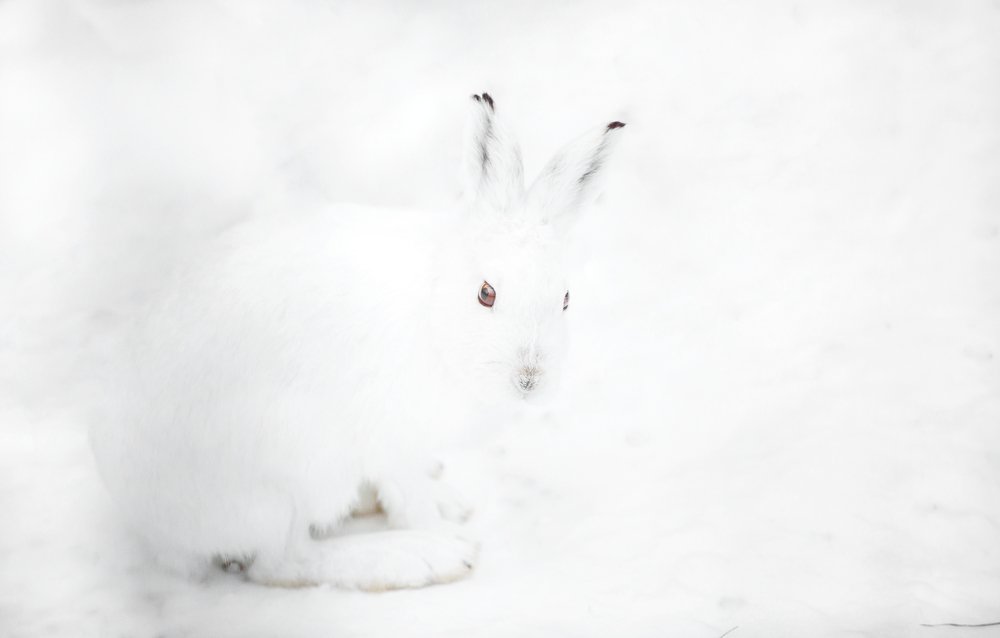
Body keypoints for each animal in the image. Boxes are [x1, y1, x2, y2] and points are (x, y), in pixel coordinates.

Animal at [90, 92, 626, 590]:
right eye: (486, 293)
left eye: (566, 299)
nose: (529, 381)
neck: (435, 307)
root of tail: (151, 523)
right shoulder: (392, 437)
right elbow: (410, 499)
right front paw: (441, 539)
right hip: (289, 480)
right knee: (282, 563)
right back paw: (418, 558)